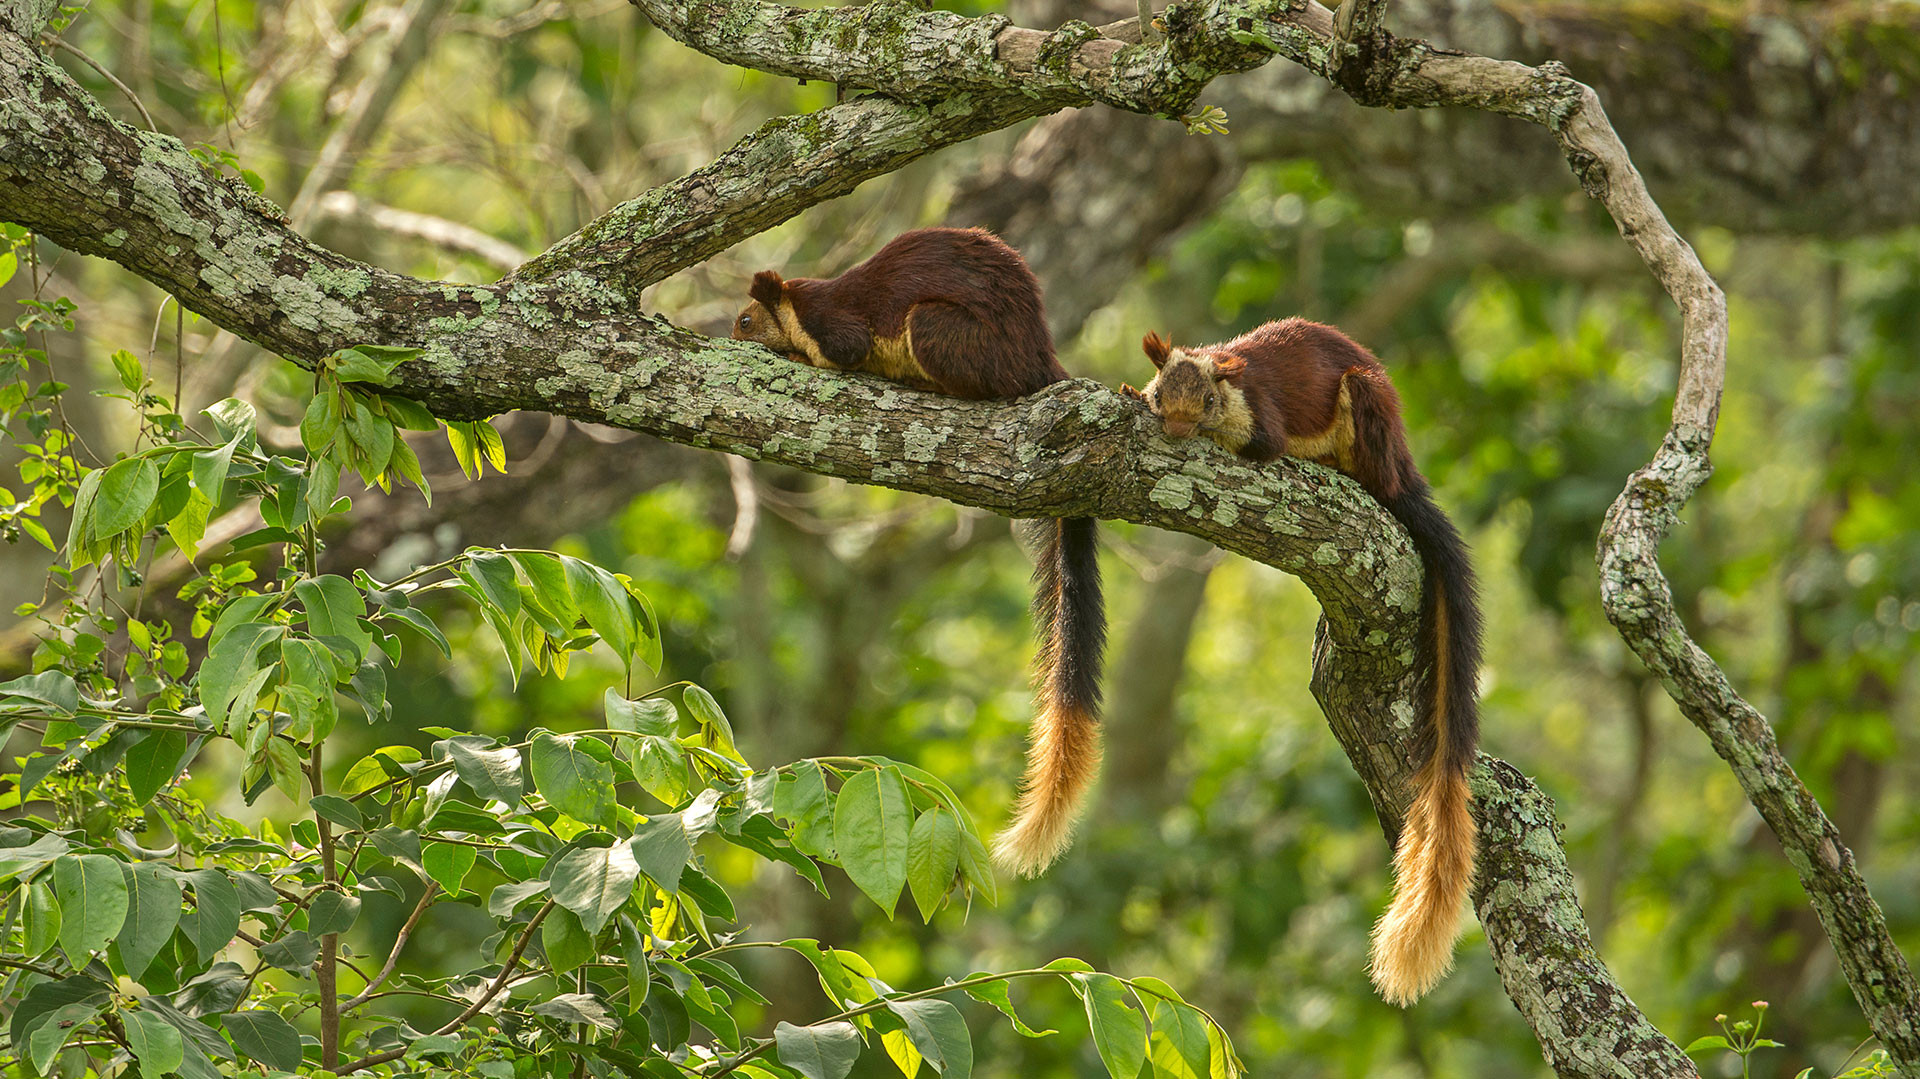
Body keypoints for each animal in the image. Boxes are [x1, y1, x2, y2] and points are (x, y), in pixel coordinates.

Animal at [733, 227, 1107, 877]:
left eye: (746, 319)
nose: (731, 340)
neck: (800, 302)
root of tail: (1040, 358)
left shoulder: (835, 323)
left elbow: (843, 351)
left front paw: (797, 358)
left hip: (942, 331)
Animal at [1127, 318, 1482, 1007]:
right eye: (1160, 396)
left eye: (1206, 401)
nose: (1178, 434)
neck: (1225, 373)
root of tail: (1403, 466)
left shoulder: (1260, 416)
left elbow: (1260, 445)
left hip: (1366, 410)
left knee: (1375, 476)